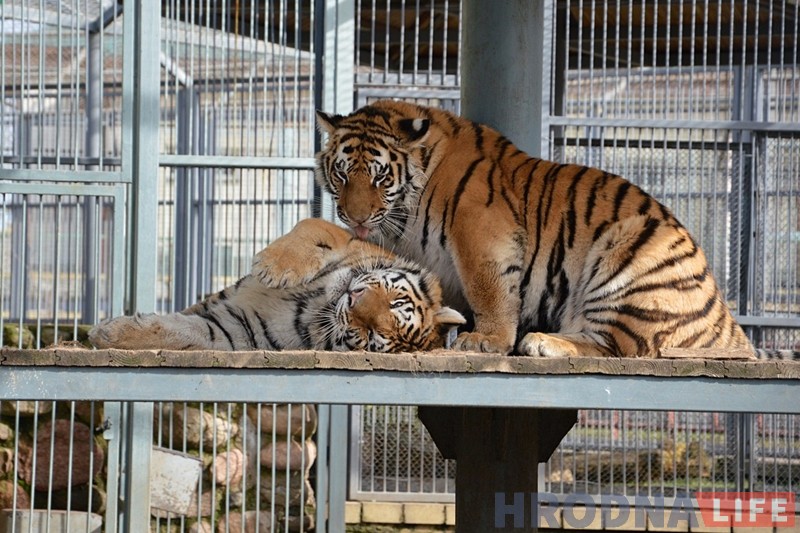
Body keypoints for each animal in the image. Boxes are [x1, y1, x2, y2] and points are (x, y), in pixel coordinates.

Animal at [88, 217, 466, 354]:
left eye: (372, 336)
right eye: (395, 302)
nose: (354, 299)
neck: (319, 301)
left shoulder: (238, 329)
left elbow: (188, 331)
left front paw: (108, 333)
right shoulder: (343, 237)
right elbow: (310, 228)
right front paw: (273, 267)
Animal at [316, 99, 796, 358]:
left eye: (380, 177)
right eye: (341, 174)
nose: (356, 218)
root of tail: (728, 321)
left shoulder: (481, 233)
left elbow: (489, 289)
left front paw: (487, 340)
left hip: (628, 260)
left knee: (621, 347)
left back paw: (541, 343)